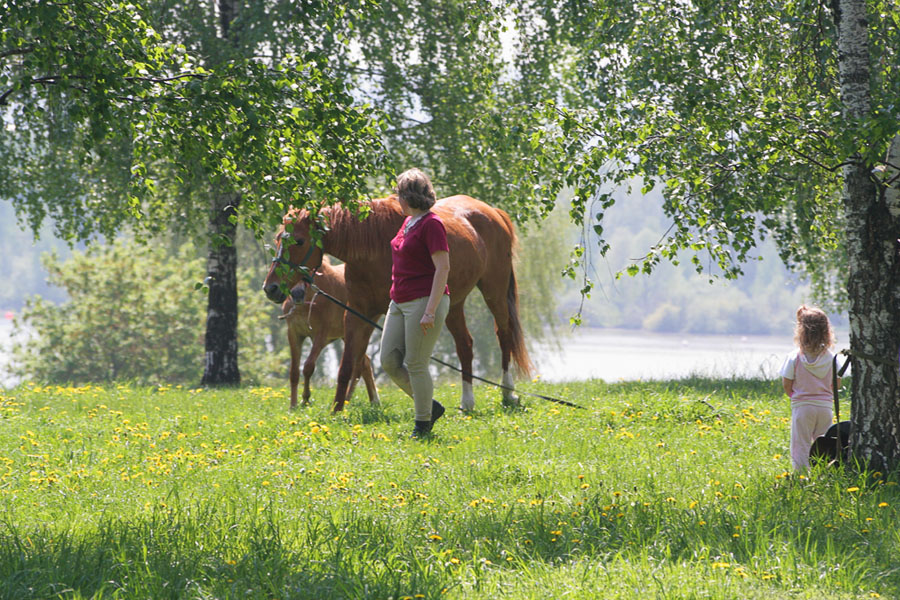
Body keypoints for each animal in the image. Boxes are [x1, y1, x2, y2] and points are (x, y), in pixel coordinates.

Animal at [282, 255, 380, 410]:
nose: (297, 293)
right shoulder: (294, 333)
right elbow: (294, 372)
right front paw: (293, 405)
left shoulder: (321, 336)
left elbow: (308, 366)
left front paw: (305, 399)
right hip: (347, 336)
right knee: (365, 362)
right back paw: (371, 400)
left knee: (359, 364)